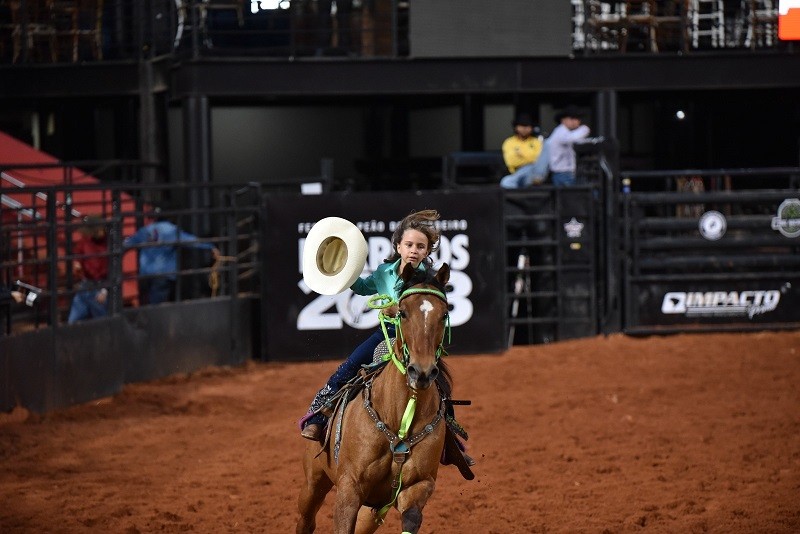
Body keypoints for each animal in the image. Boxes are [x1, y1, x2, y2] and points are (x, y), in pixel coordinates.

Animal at [296, 264, 454, 534]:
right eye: (402, 313)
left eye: (444, 314)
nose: (421, 372)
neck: (399, 418)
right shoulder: (349, 487)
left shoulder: (419, 485)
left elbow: (411, 518)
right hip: (313, 482)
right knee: (305, 520)